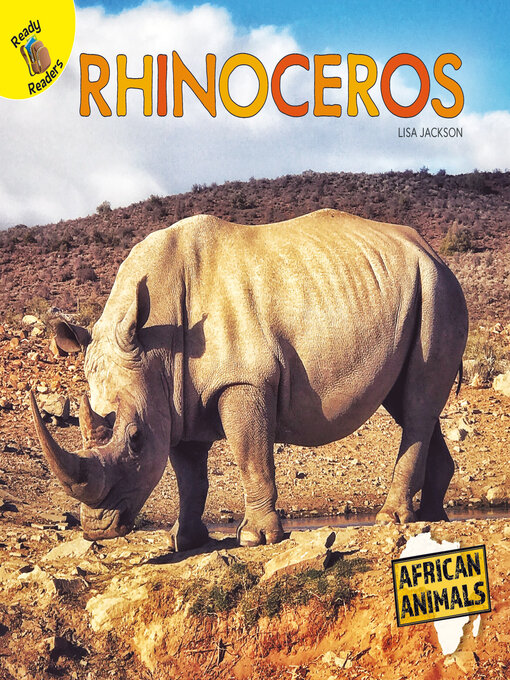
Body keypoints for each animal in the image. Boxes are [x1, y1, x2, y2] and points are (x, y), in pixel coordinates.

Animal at [31, 209, 468, 550]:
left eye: (135, 440)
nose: (97, 529)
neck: (154, 347)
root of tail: (431, 251)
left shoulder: (244, 380)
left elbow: (250, 454)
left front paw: (255, 538)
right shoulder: (174, 399)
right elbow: (190, 475)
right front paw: (182, 541)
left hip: (439, 289)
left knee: (417, 403)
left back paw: (392, 519)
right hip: (419, 290)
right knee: (408, 403)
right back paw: (432, 517)